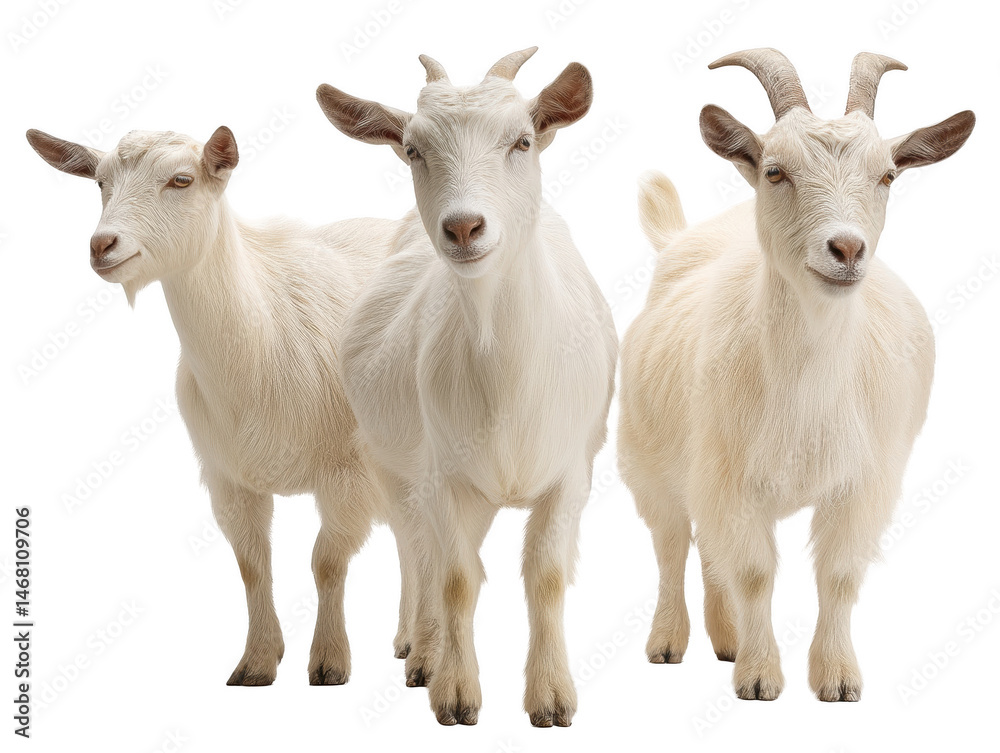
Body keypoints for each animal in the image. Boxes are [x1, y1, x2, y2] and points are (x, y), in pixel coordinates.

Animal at [26, 126, 404, 686]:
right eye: (99, 182)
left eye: (181, 180)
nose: (102, 245)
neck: (265, 339)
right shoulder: (229, 478)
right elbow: (252, 565)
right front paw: (257, 662)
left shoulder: (346, 472)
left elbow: (326, 562)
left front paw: (329, 662)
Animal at [316, 48, 618, 726]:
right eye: (412, 150)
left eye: (522, 140)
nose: (463, 227)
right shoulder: (442, 475)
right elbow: (453, 577)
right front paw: (454, 692)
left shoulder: (571, 472)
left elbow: (545, 575)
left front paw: (551, 697)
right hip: (389, 464)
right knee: (417, 553)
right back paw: (419, 650)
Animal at [618, 49, 974, 702]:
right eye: (776, 170)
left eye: (888, 175)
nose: (847, 249)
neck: (807, 384)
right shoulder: (729, 475)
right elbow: (754, 572)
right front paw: (760, 677)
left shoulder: (863, 481)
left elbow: (838, 575)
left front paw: (836, 676)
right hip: (649, 456)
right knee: (672, 542)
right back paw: (669, 641)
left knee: (707, 548)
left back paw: (726, 638)